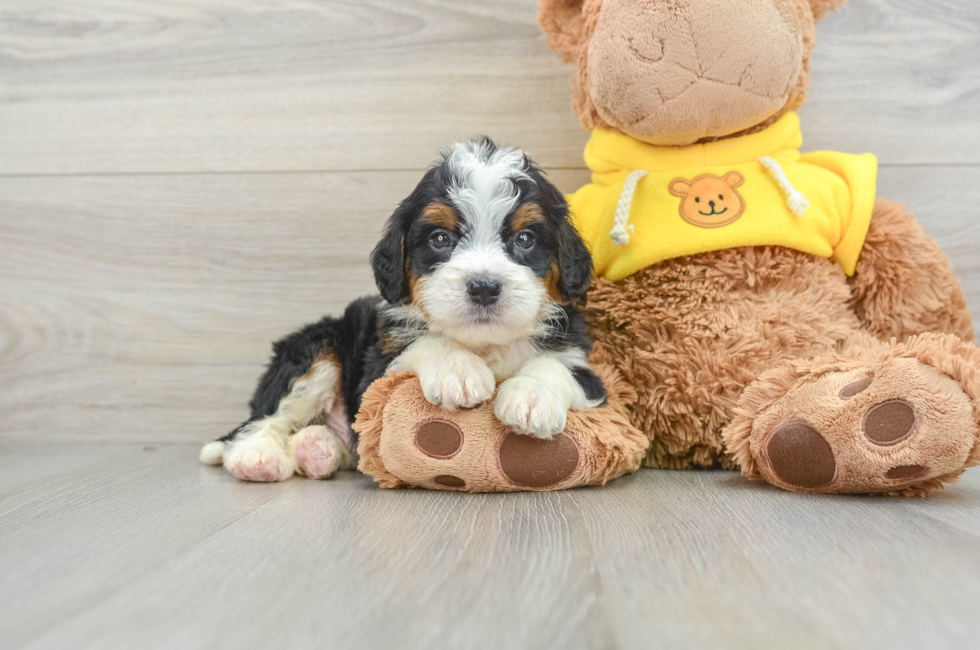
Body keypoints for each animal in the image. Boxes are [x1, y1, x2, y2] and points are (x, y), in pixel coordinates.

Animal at [199, 138, 604, 480]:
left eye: (525, 239)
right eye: (440, 239)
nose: (484, 287)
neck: (483, 345)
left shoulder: (588, 370)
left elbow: (556, 366)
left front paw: (531, 397)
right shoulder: (375, 373)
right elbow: (424, 343)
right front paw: (458, 370)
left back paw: (316, 450)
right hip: (318, 348)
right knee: (269, 414)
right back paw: (257, 457)